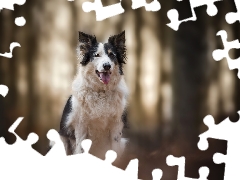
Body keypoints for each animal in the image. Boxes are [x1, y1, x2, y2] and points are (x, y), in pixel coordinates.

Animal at [58, 31, 128, 159]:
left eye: (112, 55)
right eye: (97, 55)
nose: (107, 66)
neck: (101, 91)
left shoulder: (116, 126)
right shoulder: (81, 126)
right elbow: (80, 148)